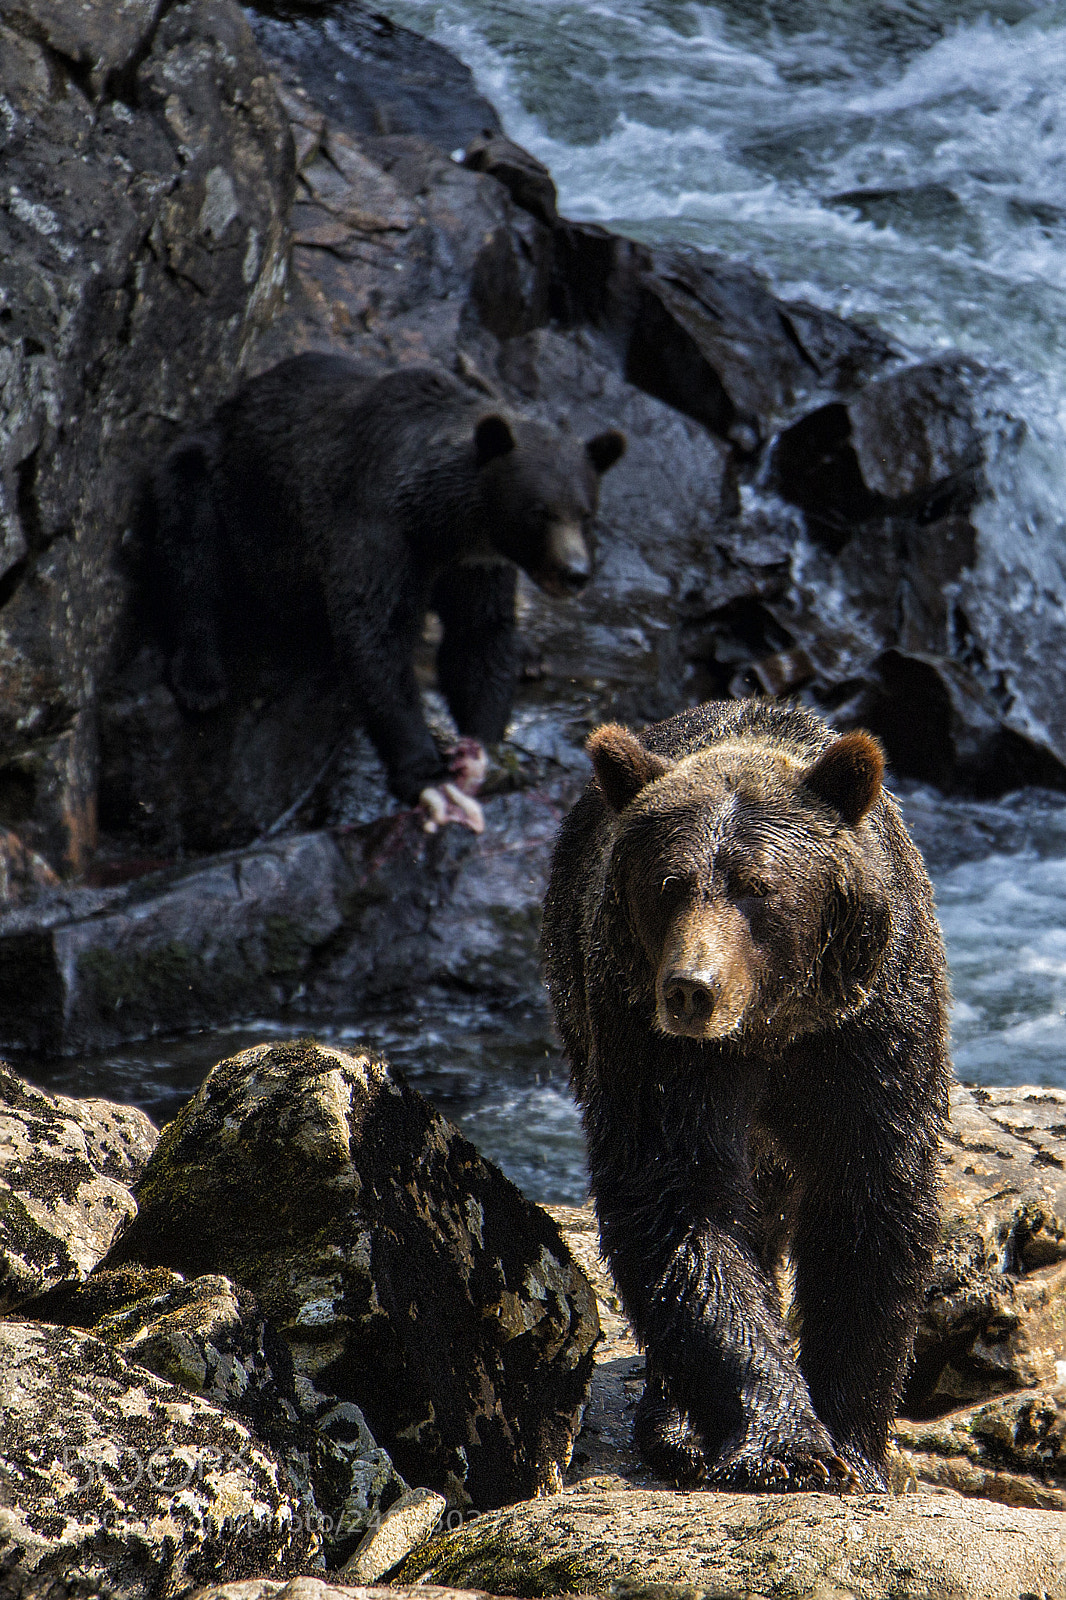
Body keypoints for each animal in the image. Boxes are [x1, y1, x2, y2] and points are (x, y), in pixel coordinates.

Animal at [144, 353, 625, 832]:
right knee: (192, 545)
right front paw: (427, 777)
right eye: (539, 512)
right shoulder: (378, 531)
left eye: (586, 513)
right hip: (220, 483)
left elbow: (479, 637)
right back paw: (200, 678)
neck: (447, 525)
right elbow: (376, 638)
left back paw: (530, 656)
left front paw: (485, 754)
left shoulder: (475, 566)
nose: (575, 572)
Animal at [541, 698, 950, 1492]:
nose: (690, 989)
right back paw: (673, 1423)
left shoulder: (868, 1030)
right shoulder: (653, 1043)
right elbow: (679, 1199)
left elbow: (870, 1199)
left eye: (757, 886)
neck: (772, 1024)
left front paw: (853, 1440)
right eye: (668, 883)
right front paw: (785, 1443)